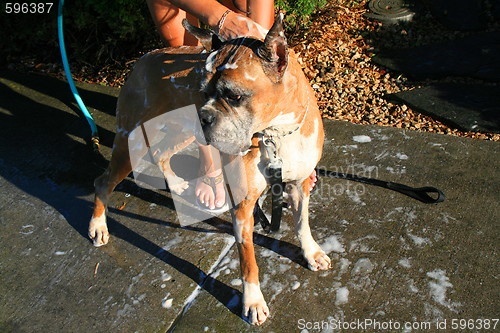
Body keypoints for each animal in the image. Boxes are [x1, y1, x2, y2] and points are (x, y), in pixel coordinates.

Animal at [89, 15, 332, 324]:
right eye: (202, 92)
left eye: (235, 96)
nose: (203, 115)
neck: (276, 132)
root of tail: (145, 57)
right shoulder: (243, 207)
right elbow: (248, 261)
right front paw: (252, 301)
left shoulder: (299, 185)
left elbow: (302, 224)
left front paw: (311, 252)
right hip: (131, 143)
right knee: (103, 182)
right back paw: (97, 226)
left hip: (181, 133)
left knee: (161, 154)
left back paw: (175, 184)